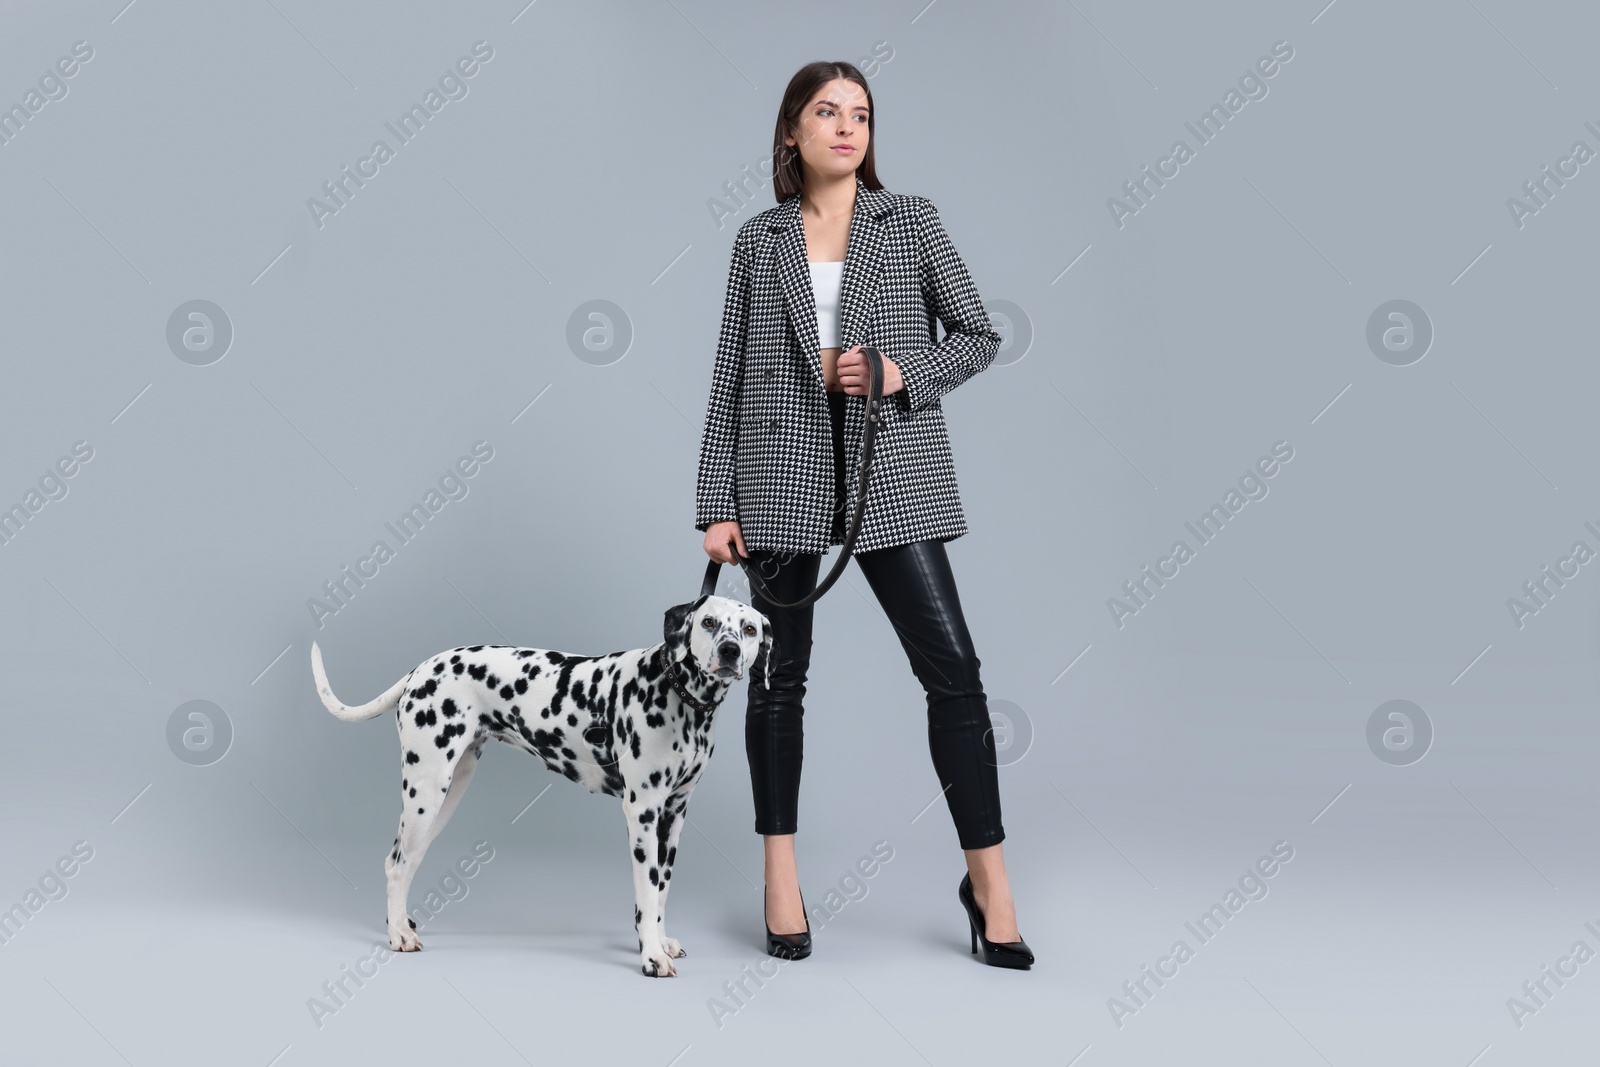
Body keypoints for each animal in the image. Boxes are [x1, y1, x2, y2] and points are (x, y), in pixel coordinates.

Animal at [310, 591, 774, 979]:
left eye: (749, 629)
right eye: (709, 622)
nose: (730, 651)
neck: (677, 694)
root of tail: (421, 669)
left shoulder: (673, 817)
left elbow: (661, 892)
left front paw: (660, 942)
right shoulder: (642, 812)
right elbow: (646, 894)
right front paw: (650, 955)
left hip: (445, 797)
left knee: (405, 861)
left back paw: (401, 923)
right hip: (426, 790)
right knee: (396, 865)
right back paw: (398, 936)